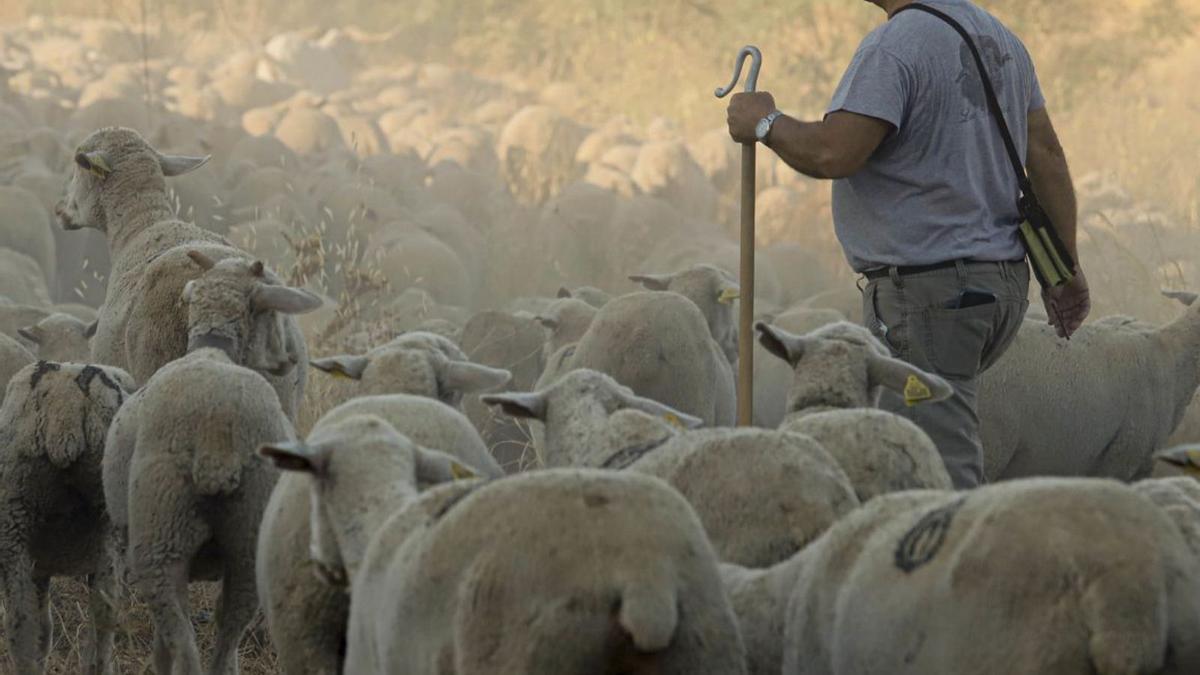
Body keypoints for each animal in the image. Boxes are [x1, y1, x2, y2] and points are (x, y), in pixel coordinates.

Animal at [0, 360, 132, 667]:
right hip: (107, 523)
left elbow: (42, 632)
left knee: (21, 626)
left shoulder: (39, 567)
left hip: (14, 518)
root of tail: (65, 408)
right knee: (104, 613)